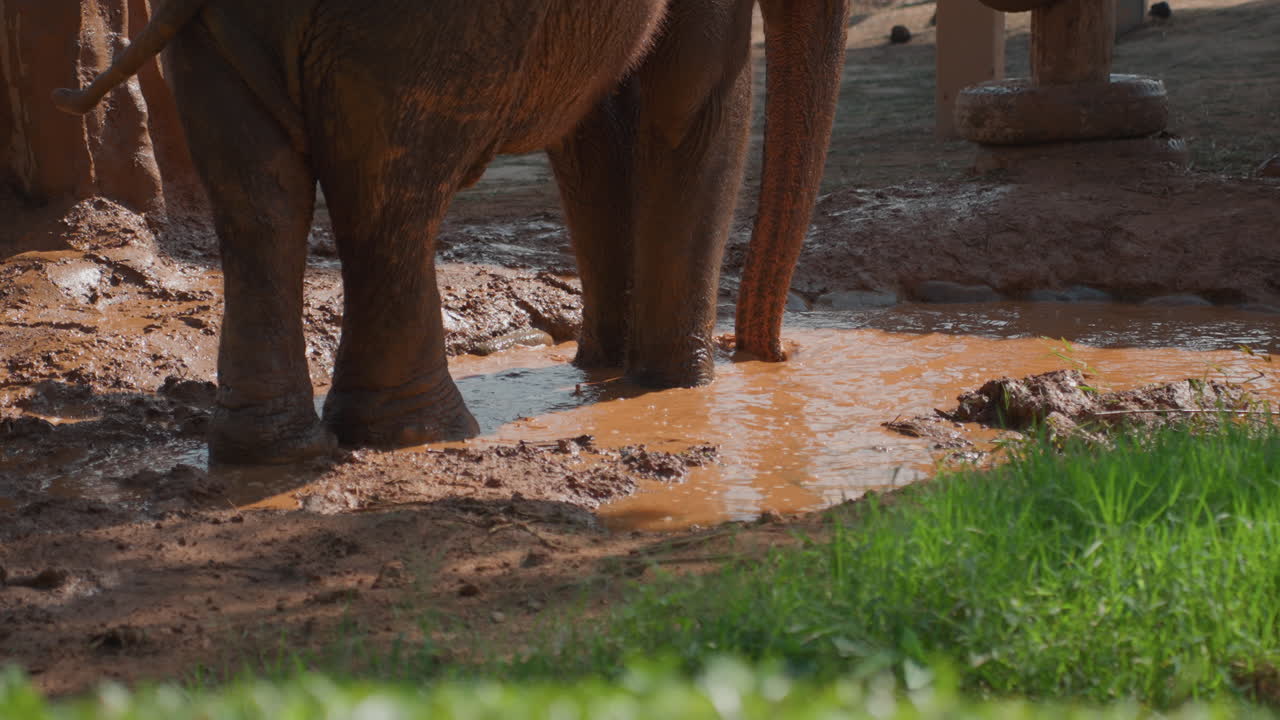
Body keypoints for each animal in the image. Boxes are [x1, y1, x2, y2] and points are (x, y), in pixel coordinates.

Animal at [54, 0, 851, 464]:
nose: (772, 356)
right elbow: (692, 100)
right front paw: (668, 387)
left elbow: (593, 128)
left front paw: (602, 371)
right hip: (422, 29)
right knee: (391, 195)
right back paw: (419, 435)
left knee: (260, 198)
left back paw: (271, 451)